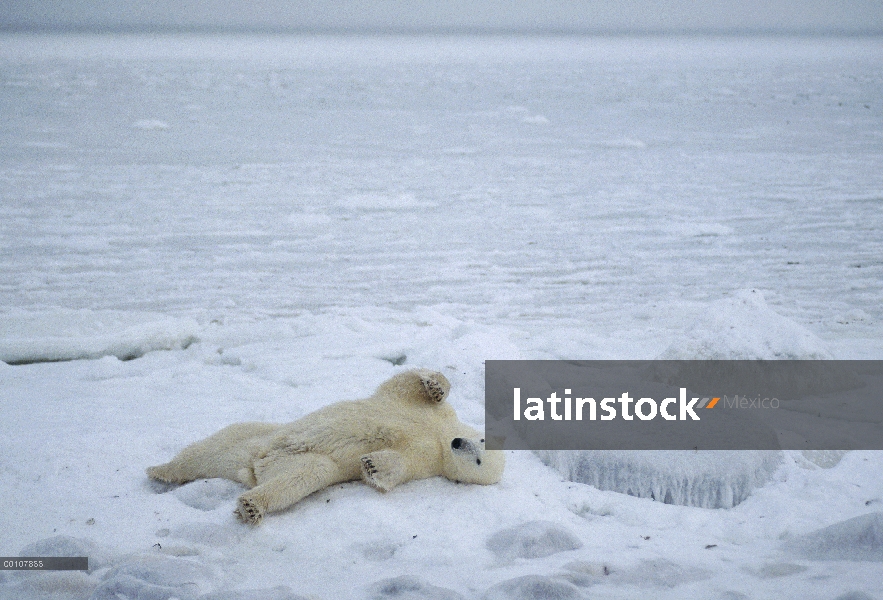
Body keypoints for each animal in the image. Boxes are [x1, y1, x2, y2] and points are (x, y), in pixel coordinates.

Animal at [148, 368, 508, 524]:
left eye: (479, 461)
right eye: (482, 440)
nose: (459, 443)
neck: (440, 434)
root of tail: (253, 467)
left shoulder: (426, 461)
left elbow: (395, 468)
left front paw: (372, 465)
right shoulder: (428, 415)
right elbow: (402, 385)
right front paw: (435, 385)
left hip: (293, 461)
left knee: (302, 475)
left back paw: (251, 506)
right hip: (256, 435)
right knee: (213, 445)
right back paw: (161, 469)